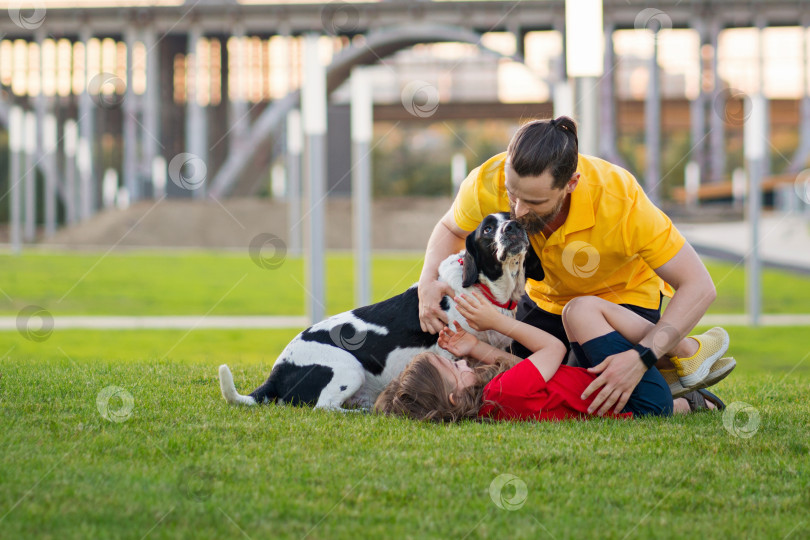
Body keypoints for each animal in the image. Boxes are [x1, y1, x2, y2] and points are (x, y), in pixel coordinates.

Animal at [218, 211, 540, 410]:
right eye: (487, 228)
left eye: (512, 218)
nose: (514, 227)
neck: (486, 290)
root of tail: (276, 373)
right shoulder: (450, 352)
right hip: (348, 368)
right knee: (324, 407)